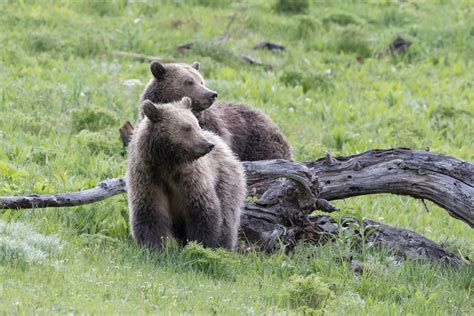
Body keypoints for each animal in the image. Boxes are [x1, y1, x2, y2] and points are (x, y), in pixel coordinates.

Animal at [127, 97, 244, 251]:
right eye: (187, 128)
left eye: (197, 125)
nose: (208, 145)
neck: (167, 163)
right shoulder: (148, 177)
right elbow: (149, 213)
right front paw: (152, 247)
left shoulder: (190, 179)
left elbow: (203, 212)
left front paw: (203, 245)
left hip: (225, 179)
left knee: (226, 216)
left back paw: (224, 245)